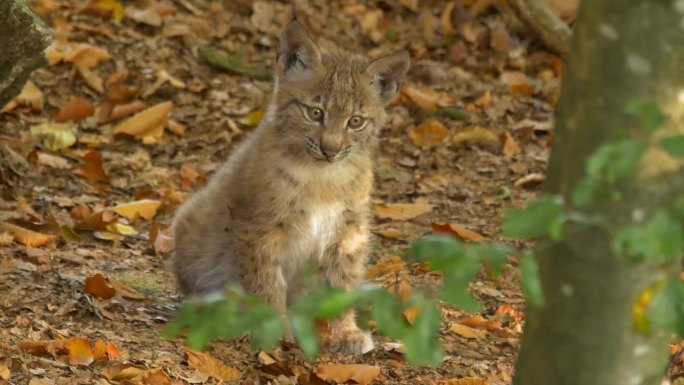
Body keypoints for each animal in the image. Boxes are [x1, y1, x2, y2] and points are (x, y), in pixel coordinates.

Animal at [171, 19, 408, 352]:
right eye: (315, 112)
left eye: (355, 122)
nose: (330, 149)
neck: (324, 176)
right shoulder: (260, 226)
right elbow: (266, 281)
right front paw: (275, 331)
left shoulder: (350, 229)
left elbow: (343, 280)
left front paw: (345, 332)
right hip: (190, 223)